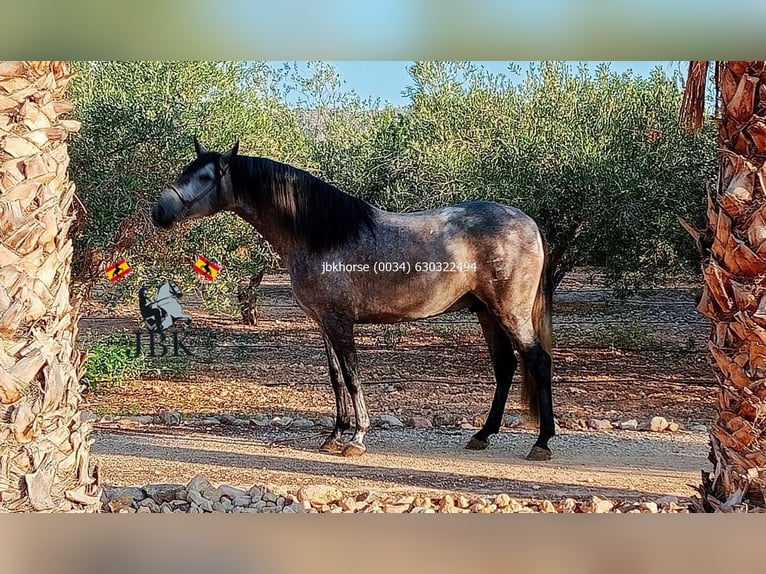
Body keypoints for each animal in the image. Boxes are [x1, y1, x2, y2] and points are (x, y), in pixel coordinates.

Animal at [152, 140, 560, 464]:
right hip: (486, 312)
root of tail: (528, 223)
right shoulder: (323, 323)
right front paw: (334, 435)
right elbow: (335, 379)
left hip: (510, 311)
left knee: (537, 360)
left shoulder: (340, 322)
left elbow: (351, 377)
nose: (159, 212)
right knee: (505, 366)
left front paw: (357, 439)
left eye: (206, 177)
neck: (320, 235)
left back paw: (542, 442)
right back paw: (482, 435)